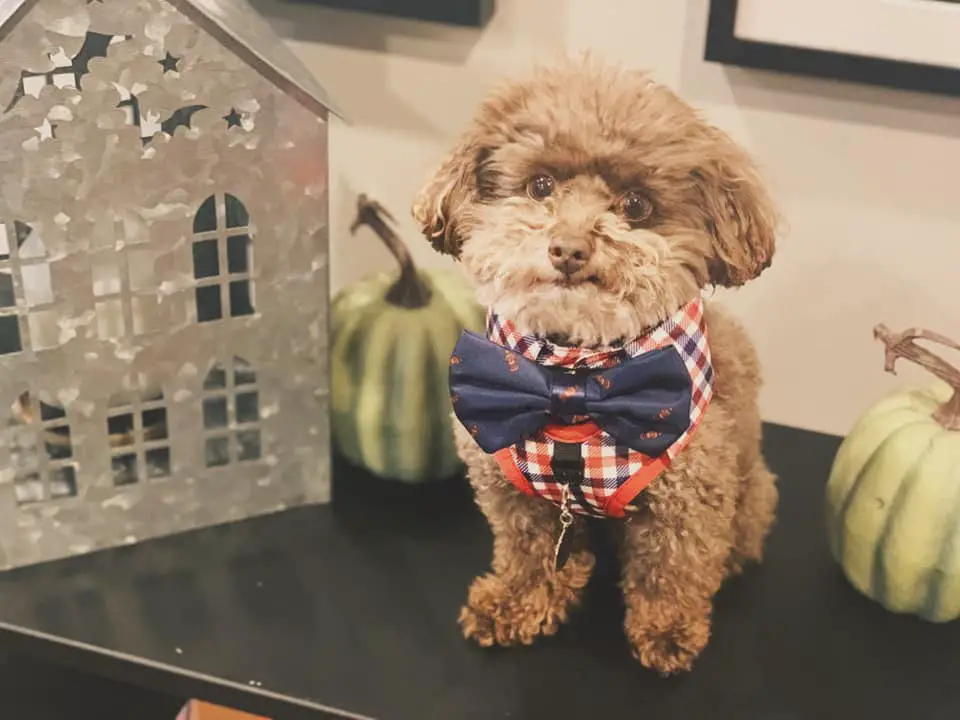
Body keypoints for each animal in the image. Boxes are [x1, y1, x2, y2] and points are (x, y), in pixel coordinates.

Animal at [412, 56, 780, 676]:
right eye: (540, 186)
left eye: (635, 205)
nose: (568, 249)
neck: (573, 379)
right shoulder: (511, 489)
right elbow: (529, 553)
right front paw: (513, 604)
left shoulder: (690, 494)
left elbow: (671, 568)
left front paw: (668, 632)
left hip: (750, 492)